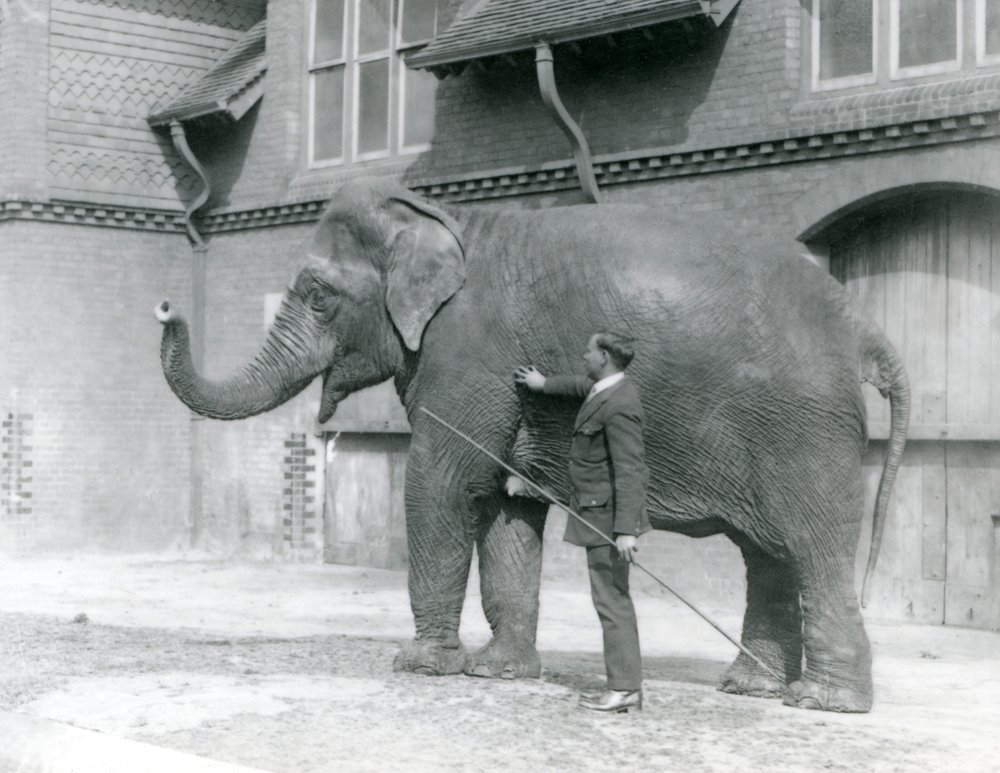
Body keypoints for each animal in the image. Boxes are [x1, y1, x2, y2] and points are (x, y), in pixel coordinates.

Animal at [155, 177, 909, 713]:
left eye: (318, 294)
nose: (165, 306)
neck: (442, 216)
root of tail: (860, 324)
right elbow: (506, 508)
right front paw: (500, 673)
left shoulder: (466, 354)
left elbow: (440, 483)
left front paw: (421, 666)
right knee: (768, 553)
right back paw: (751, 688)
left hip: (804, 427)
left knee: (811, 545)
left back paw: (824, 702)